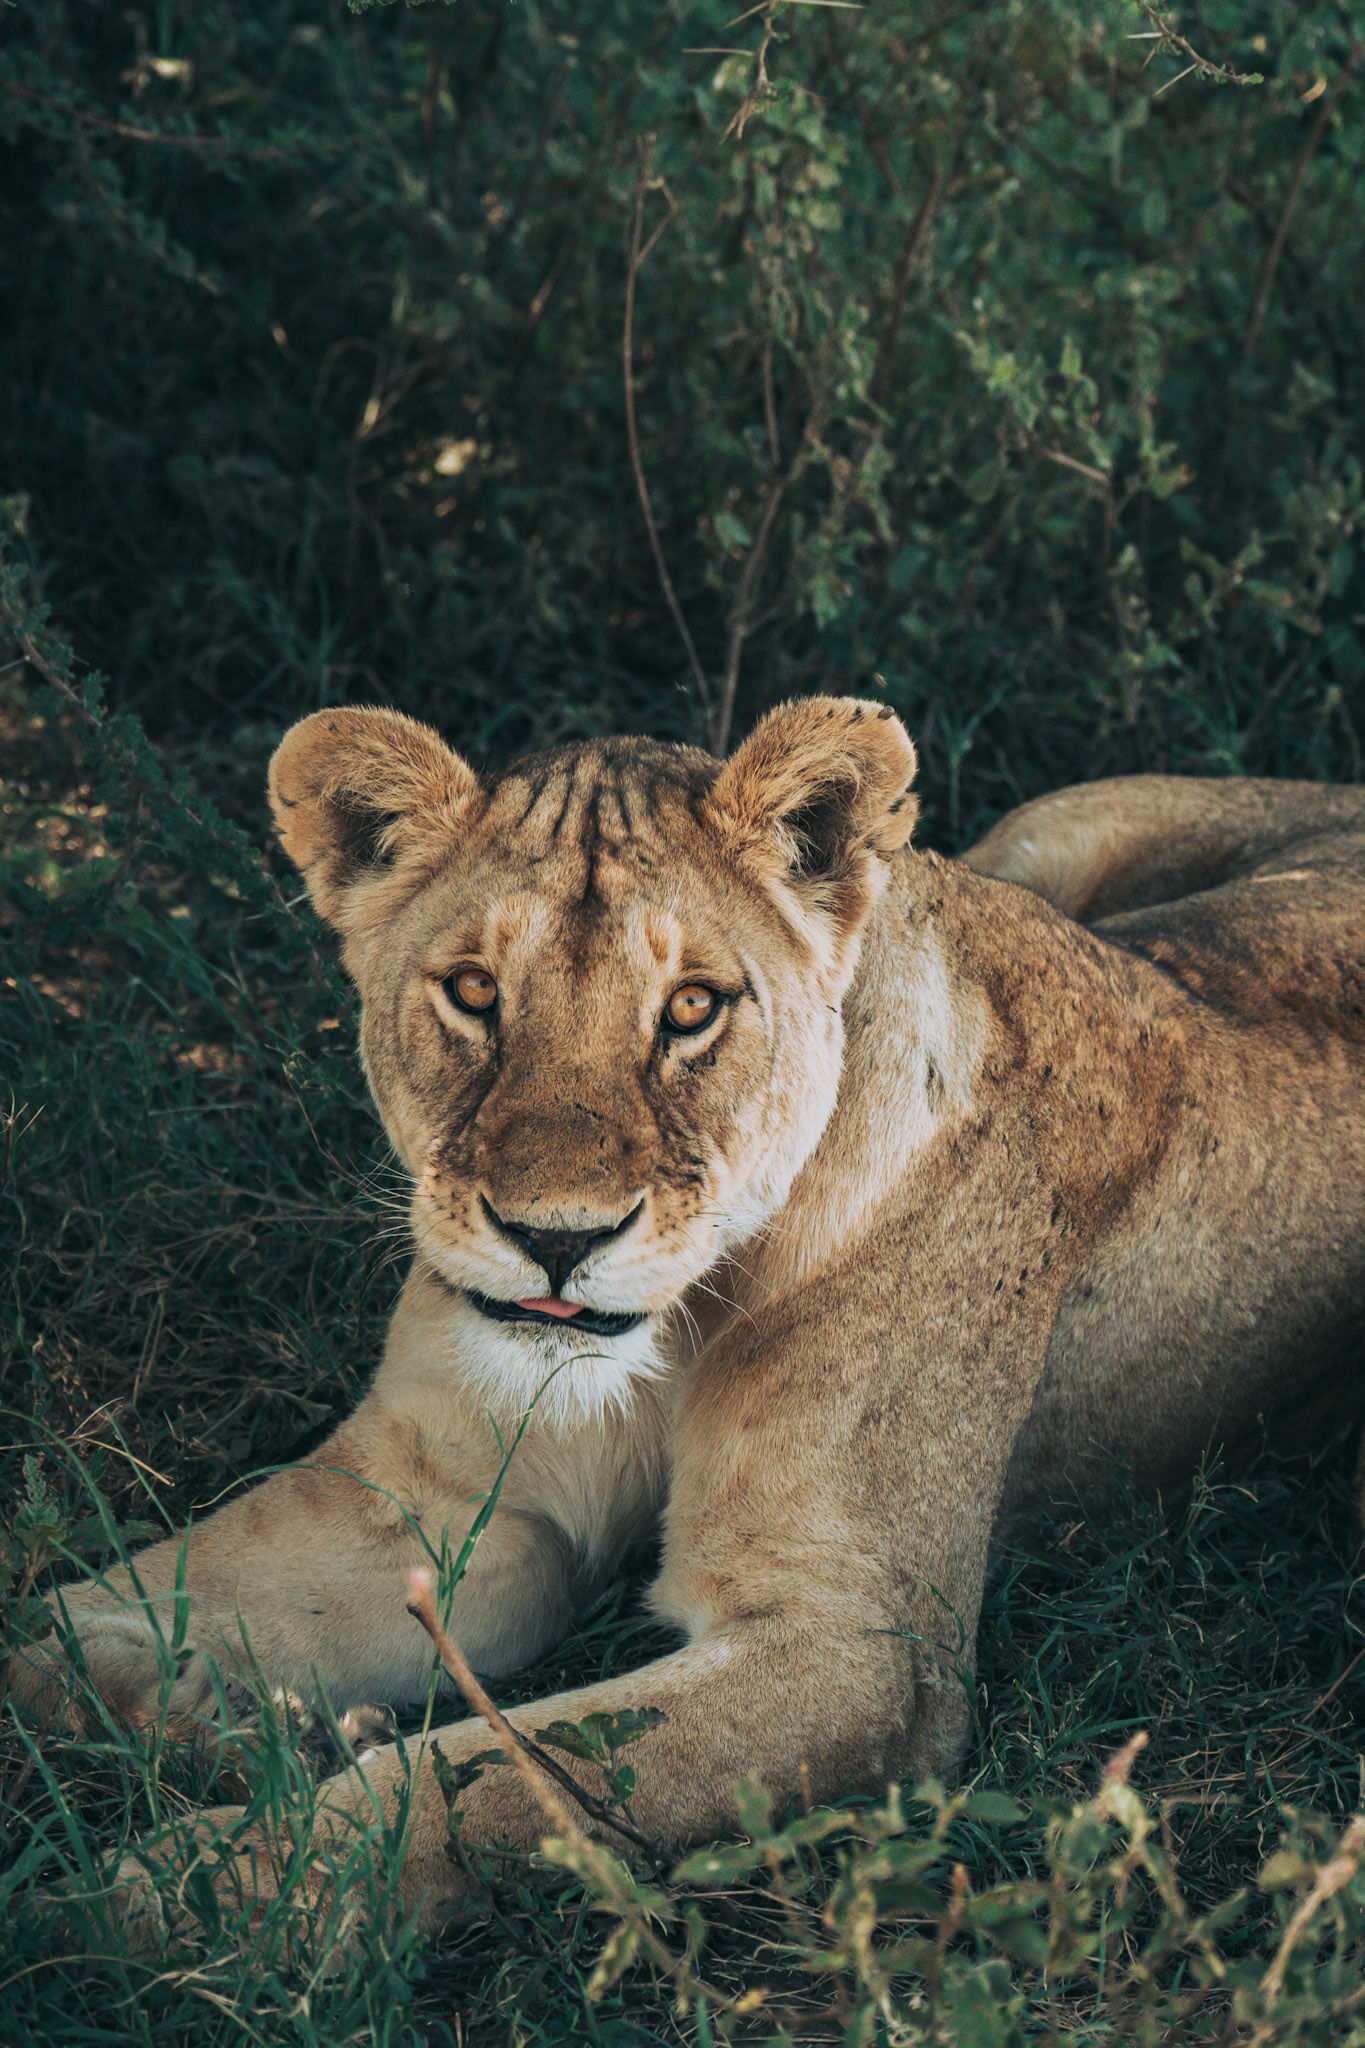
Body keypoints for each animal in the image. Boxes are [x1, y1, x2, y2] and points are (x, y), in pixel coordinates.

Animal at [13, 695, 1365, 1937]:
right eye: (473, 992)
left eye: (694, 1008)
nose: (557, 1237)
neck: (673, 1331)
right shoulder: (440, 1494)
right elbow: (110, 1604)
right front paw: (176, 1718)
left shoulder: (853, 1646)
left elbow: (499, 1775)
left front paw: (191, 1894)